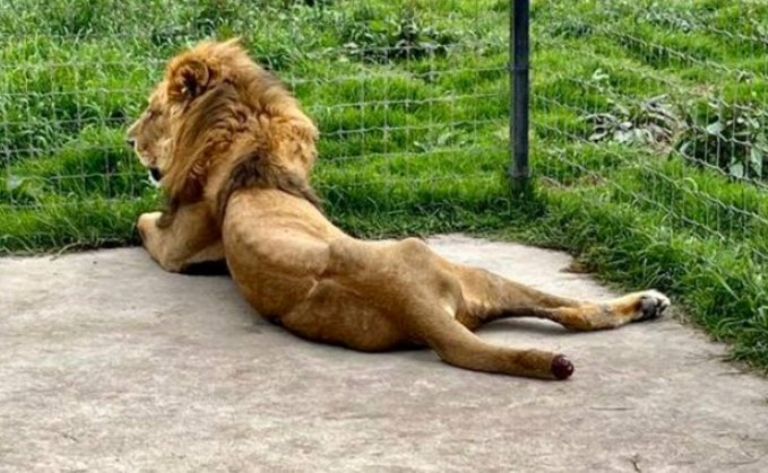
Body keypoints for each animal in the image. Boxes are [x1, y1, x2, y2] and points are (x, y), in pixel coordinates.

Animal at [127, 39, 670, 380]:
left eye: (152, 112)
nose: (128, 139)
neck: (247, 132)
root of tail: (414, 303)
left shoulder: (179, 248)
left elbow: (141, 220)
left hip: (457, 266)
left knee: (573, 311)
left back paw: (648, 302)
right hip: (478, 281)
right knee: (576, 313)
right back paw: (648, 303)